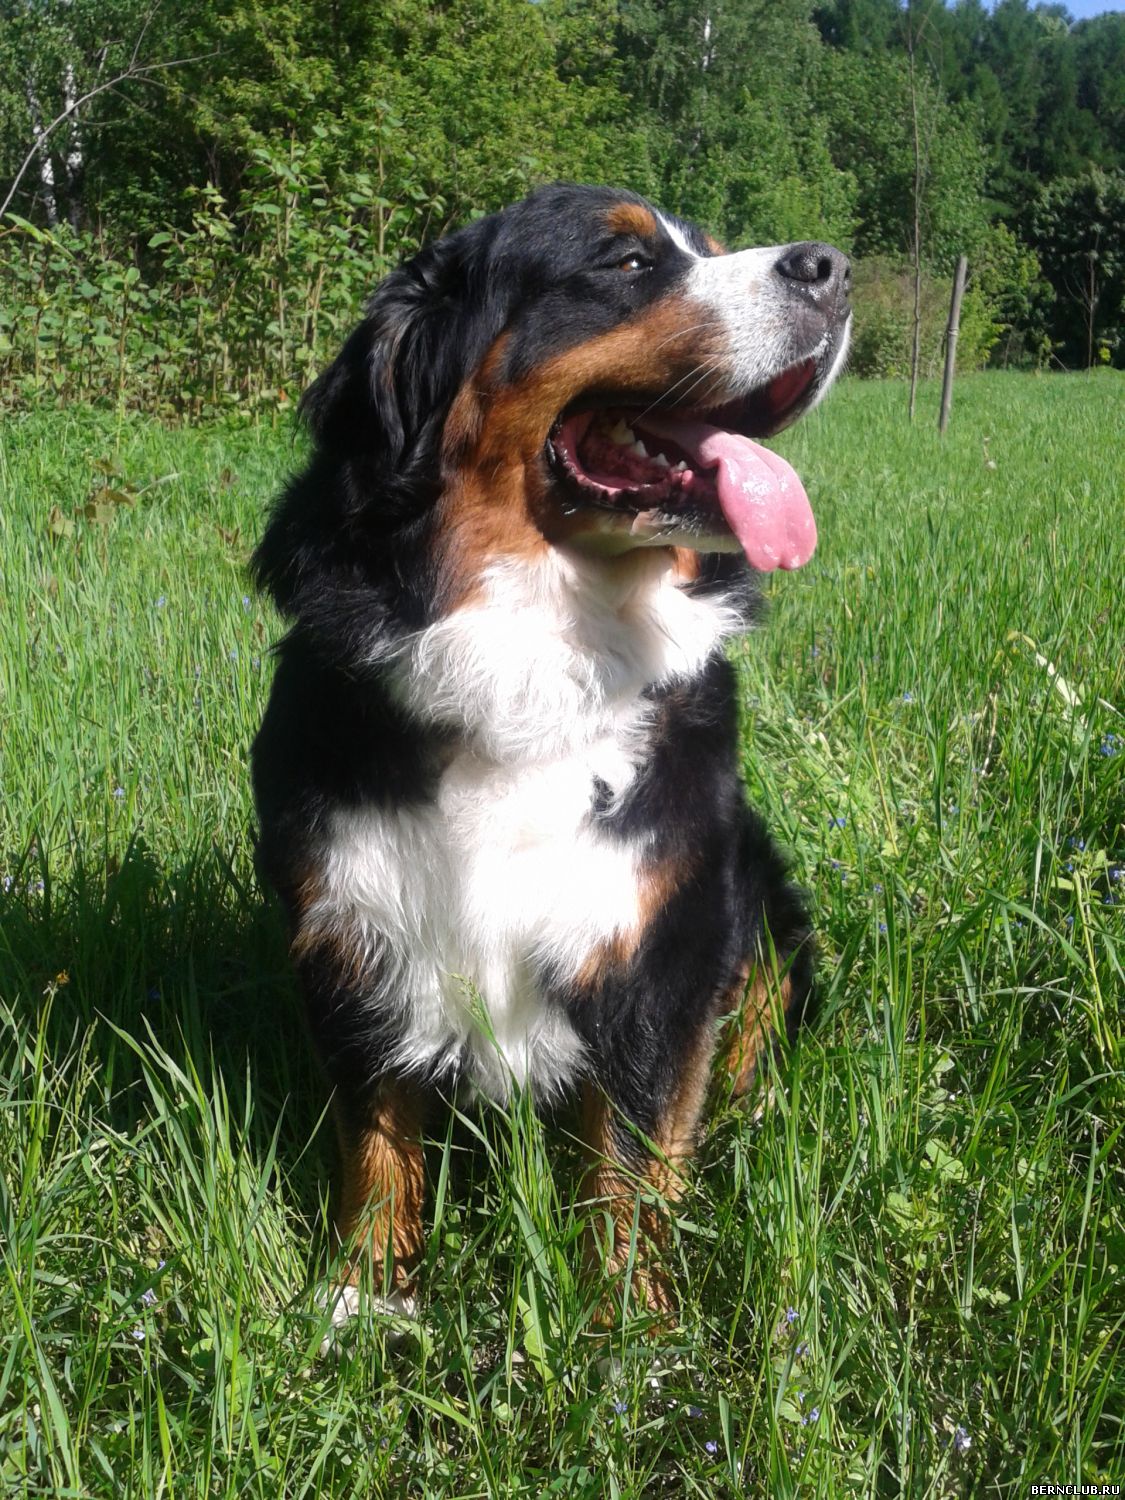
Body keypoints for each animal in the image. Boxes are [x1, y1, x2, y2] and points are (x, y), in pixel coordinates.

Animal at [251, 184, 851, 1331]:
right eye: (625, 263)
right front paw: (364, 1295)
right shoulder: (355, 925)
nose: (832, 269)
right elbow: (376, 1138)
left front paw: (628, 1326)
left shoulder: (661, 943)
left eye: (708, 248)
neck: (536, 656)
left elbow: (629, 1156)